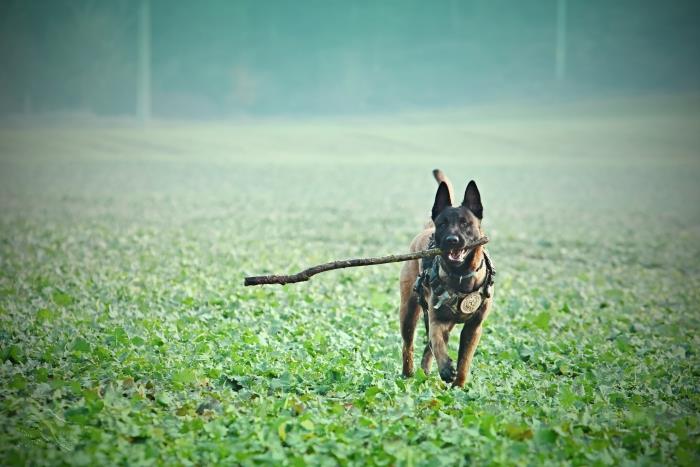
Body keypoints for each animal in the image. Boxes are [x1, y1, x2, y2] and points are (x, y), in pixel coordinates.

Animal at [400, 171, 492, 388]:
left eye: (465, 224)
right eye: (443, 224)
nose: (452, 240)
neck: (460, 276)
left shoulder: (473, 328)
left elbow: (464, 361)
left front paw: (459, 387)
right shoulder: (437, 320)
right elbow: (437, 342)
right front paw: (445, 368)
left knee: (427, 349)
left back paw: (424, 374)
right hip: (409, 312)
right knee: (409, 346)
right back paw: (408, 377)